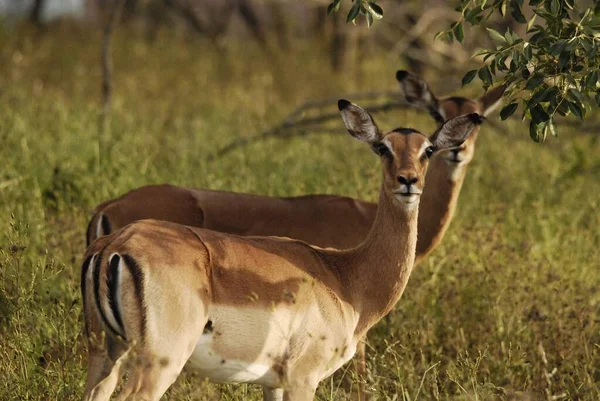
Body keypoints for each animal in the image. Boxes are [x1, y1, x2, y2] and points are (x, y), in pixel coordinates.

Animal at [81, 101, 482, 400]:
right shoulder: (302, 379)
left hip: (104, 354)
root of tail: (114, 244)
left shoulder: (272, 384)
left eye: (427, 150)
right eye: (383, 147)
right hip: (159, 360)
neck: (346, 277)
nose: (407, 181)